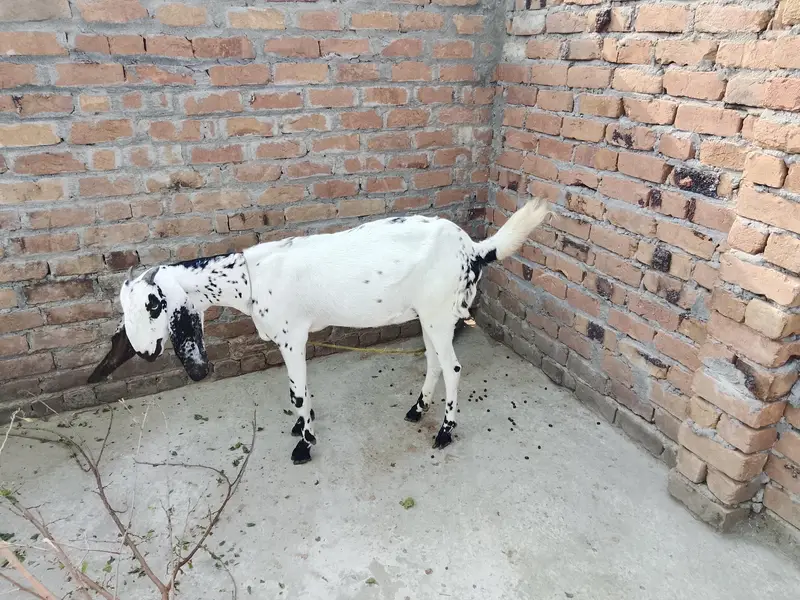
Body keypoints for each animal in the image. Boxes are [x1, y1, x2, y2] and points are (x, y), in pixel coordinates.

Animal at [87, 199, 550, 464]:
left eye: (153, 305)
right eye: (125, 312)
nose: (144, 352)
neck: (248, 278)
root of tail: (474, 249)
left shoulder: (292, 336)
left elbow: (296, 391)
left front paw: (304, 445)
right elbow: (302, 389)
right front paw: (302, 426)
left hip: (438, 312)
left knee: (453, 368)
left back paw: (444, 432)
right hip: (429, 315)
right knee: (435, 361)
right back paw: (418, 409)